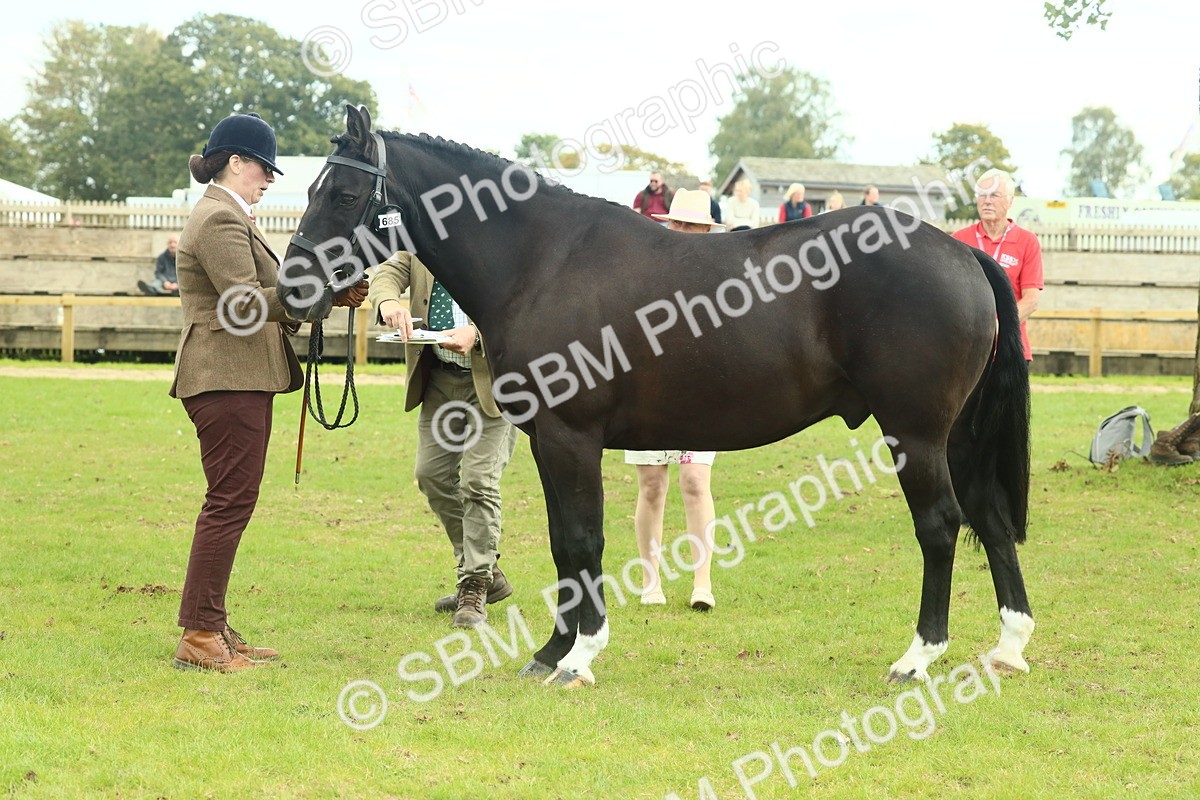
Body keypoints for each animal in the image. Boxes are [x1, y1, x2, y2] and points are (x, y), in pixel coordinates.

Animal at [280, 105, 1034, 689]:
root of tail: (963, 253)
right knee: (991, 522)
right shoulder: (547, 442)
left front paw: (579, 658)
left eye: (343, 194)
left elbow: (582, 538)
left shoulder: (572, 437)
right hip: (959, 437)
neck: (541, 261)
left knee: (940, 527)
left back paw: (917, 658)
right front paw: (551, 651)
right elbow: (562, 542)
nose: (291, 290)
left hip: (916, 433)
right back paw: (1008, 647)